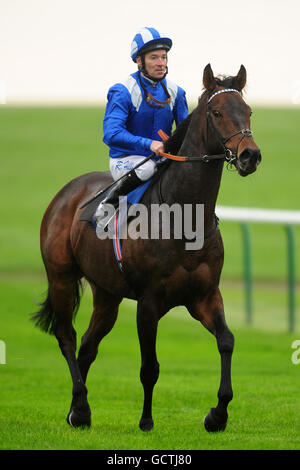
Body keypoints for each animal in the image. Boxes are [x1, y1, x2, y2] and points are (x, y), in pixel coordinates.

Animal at [32, 64, 262, 432]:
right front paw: (146, 421)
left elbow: (227, 340)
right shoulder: (149, 302)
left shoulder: (204, 294)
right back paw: (80, 406)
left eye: (249, 110)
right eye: (217, 112)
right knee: (67, 336)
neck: (183, 219)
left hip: (107, 293)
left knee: (88, 345)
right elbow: (149, 367)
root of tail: (68, 191)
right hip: (61, 277)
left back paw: (77, 411)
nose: (249, 155)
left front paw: (217, 414)